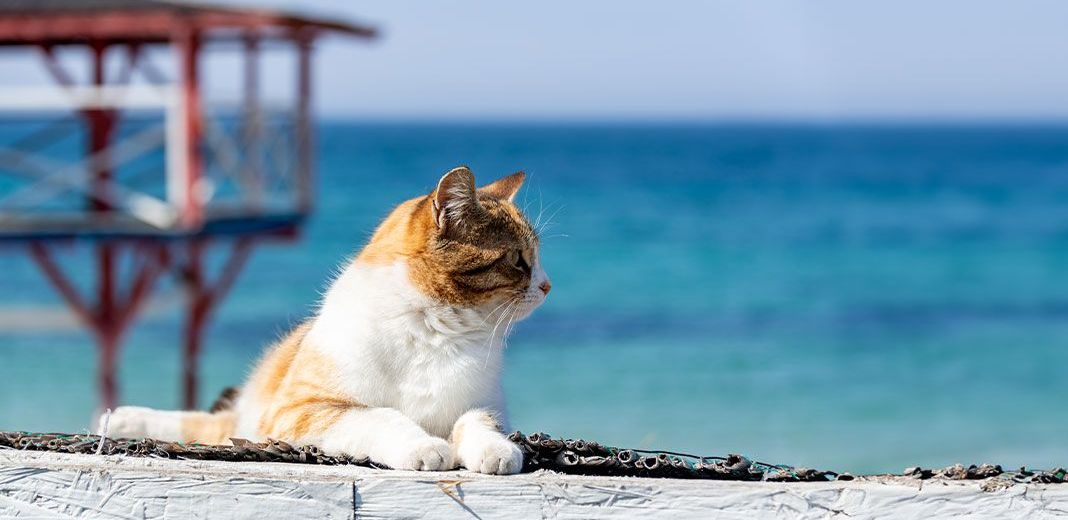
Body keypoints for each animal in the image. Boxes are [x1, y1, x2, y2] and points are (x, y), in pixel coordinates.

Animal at [105, 167, 555, 476]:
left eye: (534, 257)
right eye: (519, 260)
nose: (548, 285)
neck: (434, 330)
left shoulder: (485, 404)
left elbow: (479, 420)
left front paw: (494, 449)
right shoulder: (303, 409)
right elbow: (378, 415)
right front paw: (422, 446)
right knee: (212, 426)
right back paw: (122, 419)